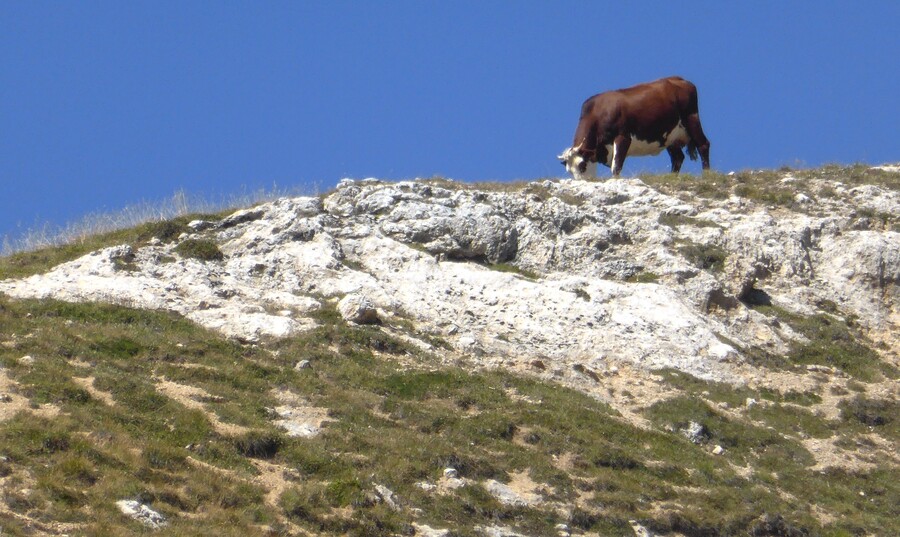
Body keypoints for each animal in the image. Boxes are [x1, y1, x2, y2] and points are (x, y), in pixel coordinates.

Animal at [556, 76, 712, 179]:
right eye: (569, 171)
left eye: (582, 165)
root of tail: (680, 80)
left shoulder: (623, 137)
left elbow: (616, 167)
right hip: (670, 135)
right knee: (678, 157)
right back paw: (672, 177)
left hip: (691, 118)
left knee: (703, 144)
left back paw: (707, 175)